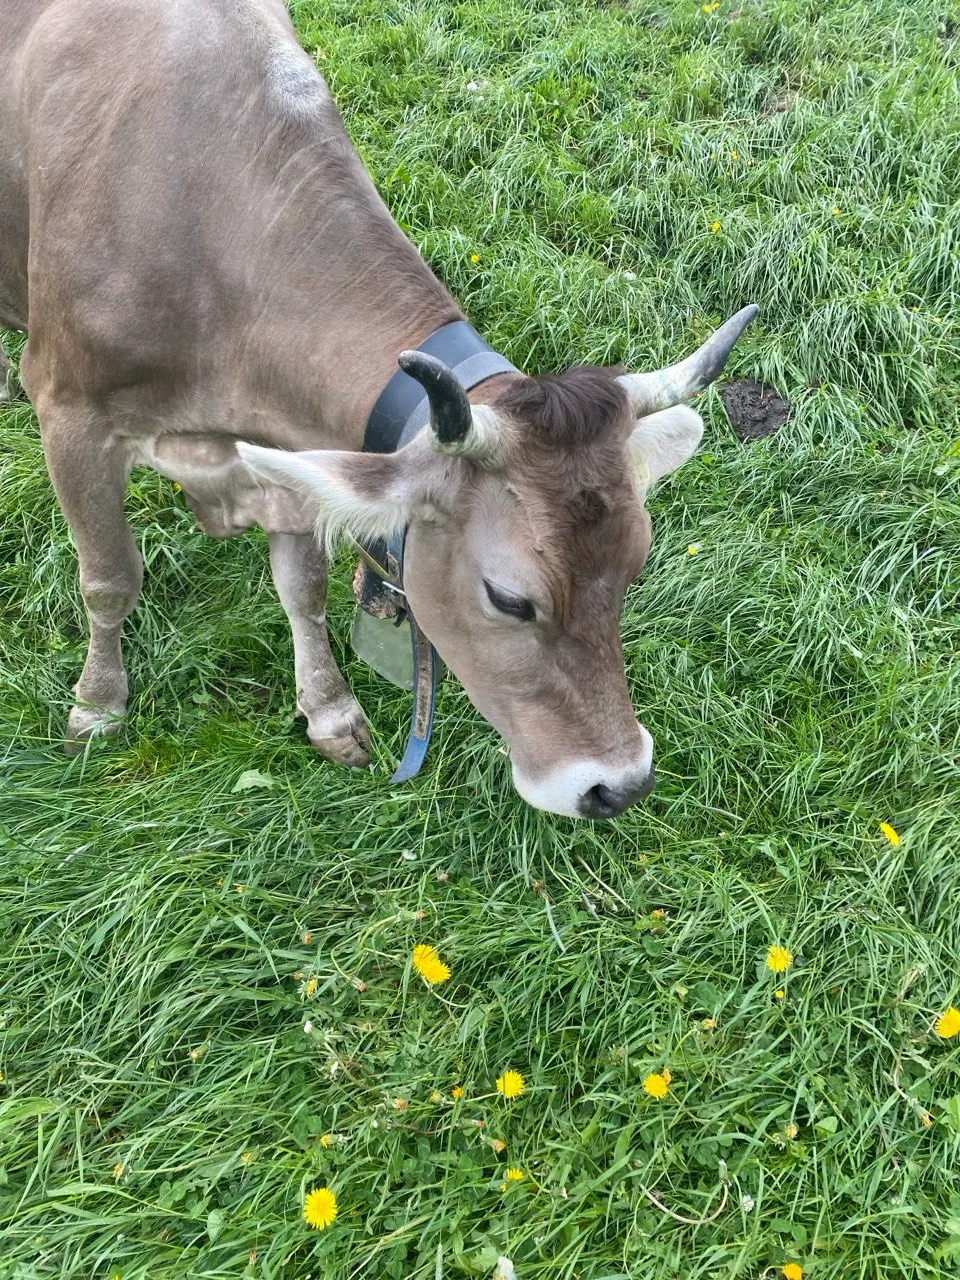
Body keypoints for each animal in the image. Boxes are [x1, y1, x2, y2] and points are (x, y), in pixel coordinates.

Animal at [0, 0, 755, 819]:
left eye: (636, 564)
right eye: (509, 598)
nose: (619, 784)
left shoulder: (286, 450)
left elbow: (302, 586)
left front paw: (329, 710)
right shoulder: (70, 411)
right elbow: (109, 576)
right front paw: (98, 706)